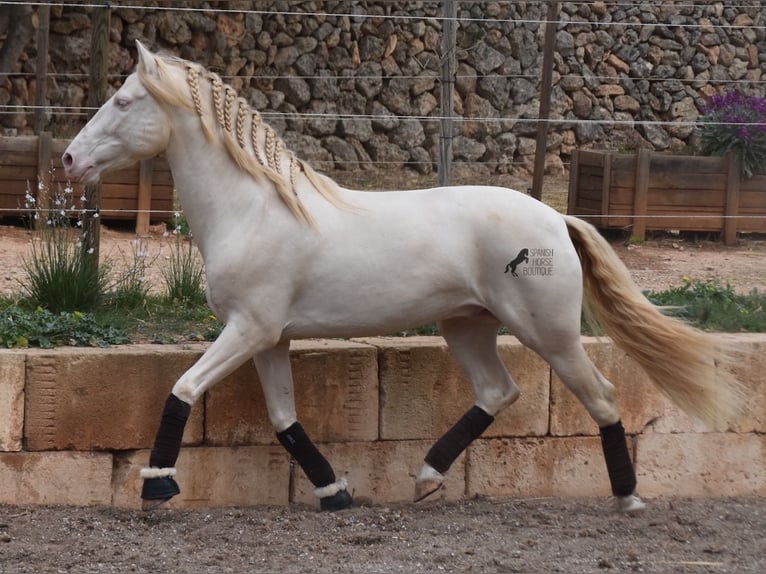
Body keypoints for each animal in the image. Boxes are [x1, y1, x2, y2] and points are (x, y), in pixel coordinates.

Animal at [63, 44, 748, 512]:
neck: (254, 210)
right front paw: (336, 493)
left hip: (547, 332)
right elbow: (284, 420)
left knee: (600, 396)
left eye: (123, 101)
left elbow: (182, 387)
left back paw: (627, 497)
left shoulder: (248, 329)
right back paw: (426, 478)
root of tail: (555, 216)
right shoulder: (269, 338)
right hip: (467, 327)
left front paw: (157, 488)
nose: (69, 160)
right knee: (498, 392)